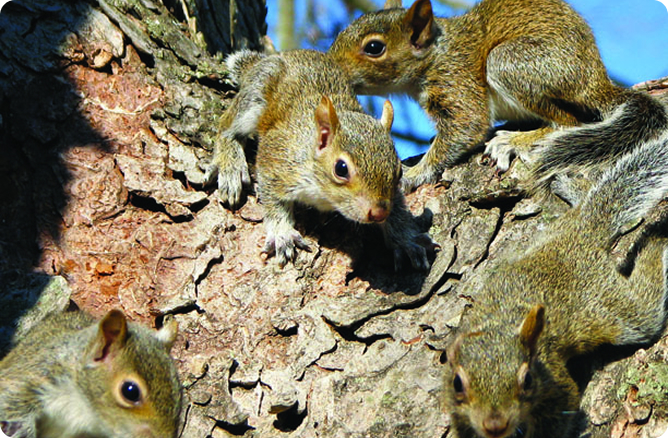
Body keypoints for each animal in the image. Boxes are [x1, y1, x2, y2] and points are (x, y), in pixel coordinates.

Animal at [205, 49, 434, 270]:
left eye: (399, 172)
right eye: (341, 169)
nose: (378, 213)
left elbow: (397, 210)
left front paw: (405, 240)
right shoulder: (276, 159)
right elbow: (273, 200)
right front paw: (281, 233)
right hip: (256, 93)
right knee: (227, 126)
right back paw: (230, 166)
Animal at [328, 0, 668, 192]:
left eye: (374, 47)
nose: (331, 65)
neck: (435, 54)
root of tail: (596, 80)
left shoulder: (456, 79)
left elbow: (468, 126)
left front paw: (413, 173)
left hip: (509, 63)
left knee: (567, 122)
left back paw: (514, 141)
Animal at [442, 131, 668, 438]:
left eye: (527, 379)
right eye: (457, 383)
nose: (495, 425)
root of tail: (580, 233)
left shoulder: (556, 387)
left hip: (613, 309)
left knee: (646, 307)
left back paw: (658, 241)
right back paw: (572, 189)